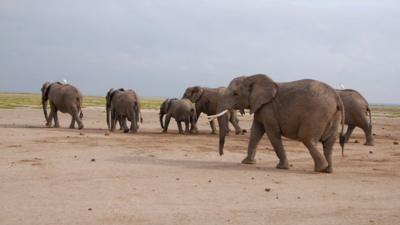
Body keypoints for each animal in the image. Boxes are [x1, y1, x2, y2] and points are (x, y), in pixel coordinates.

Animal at [208, 74, 346, 173]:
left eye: (235, 93)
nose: (221, 154)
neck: (251, 77)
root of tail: (336, 96)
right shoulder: (260, 107)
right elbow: (256, 132)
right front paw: (247, 162)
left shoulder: (268, 109)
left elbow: (272, 134)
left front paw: (282, 167)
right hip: (334, 115)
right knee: (328, 143)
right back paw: (328, 170)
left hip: (317, 114)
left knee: (307, 138)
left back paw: (320, 169)